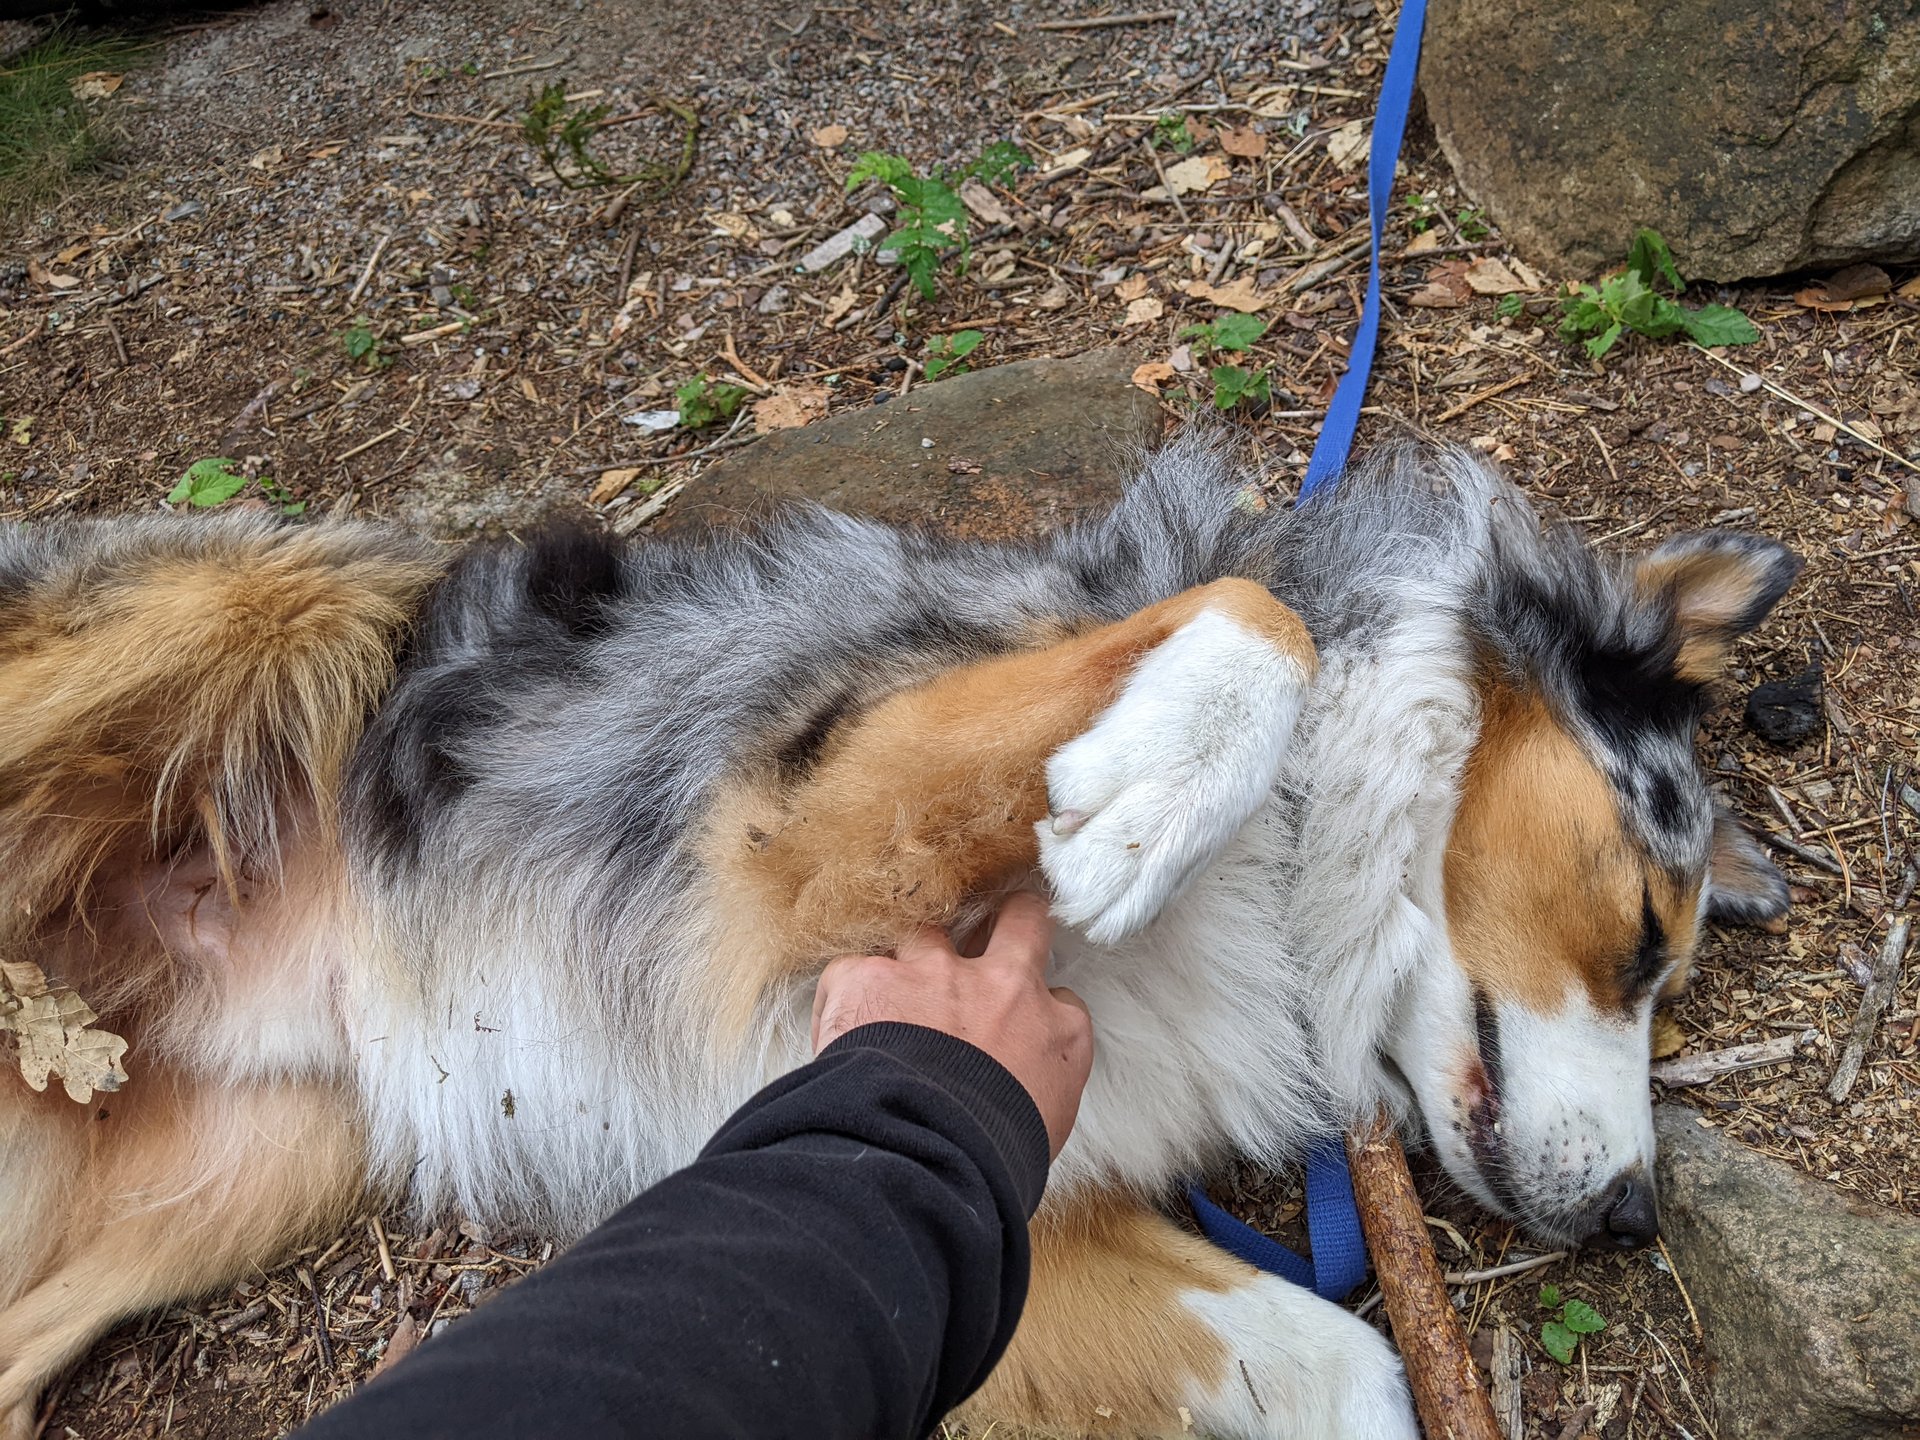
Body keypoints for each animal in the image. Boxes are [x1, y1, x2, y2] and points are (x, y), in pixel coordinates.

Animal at [0, 437, 1797, 1438]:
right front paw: (1142, 796)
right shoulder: (798, 812)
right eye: (1645, 927)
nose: (1636, 1218)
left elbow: (1348, 1374)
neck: (1291, 871)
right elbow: (1255, 615)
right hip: (265, 612)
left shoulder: (978, 1183)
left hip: (257, 1163)